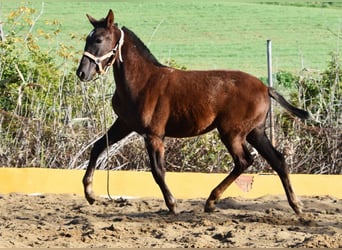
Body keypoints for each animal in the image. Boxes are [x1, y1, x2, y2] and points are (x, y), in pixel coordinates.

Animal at [77, 9, 310, 215]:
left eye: (98, 40)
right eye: (88, 39)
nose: (82, 73)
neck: (142, 81)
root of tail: (265, 87)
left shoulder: (154, 135)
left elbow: (157, 171)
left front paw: (172, 205)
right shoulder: (124, 124)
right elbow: (97, 147)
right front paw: (90, 194)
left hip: (232, 132)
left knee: (243, 161)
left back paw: (212, 201)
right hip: (255, 132)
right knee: (277, 160)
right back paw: (296, 205)